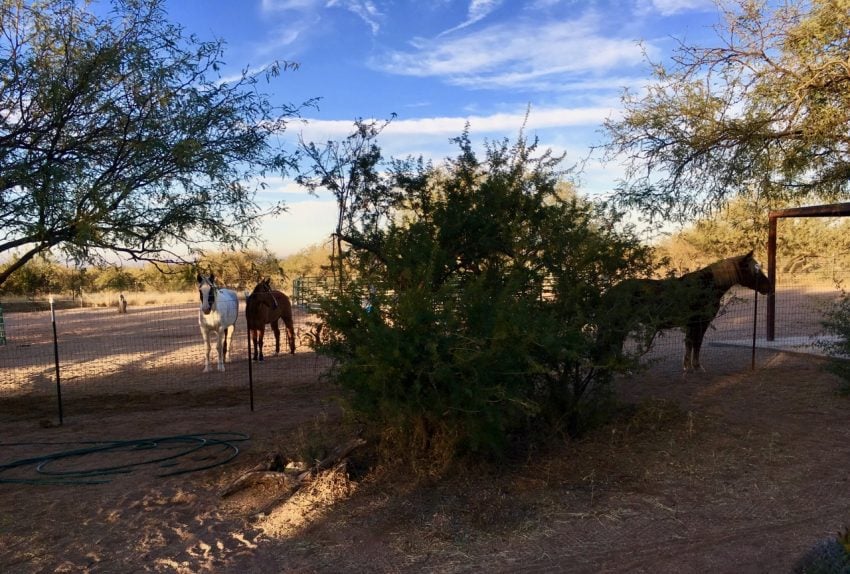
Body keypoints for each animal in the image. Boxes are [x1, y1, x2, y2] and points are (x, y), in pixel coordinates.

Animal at [592, 252, 772, 374]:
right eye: (755, 269)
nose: (768, 287)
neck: (706, 286)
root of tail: (609, 293)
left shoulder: (692, 323)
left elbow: (689, 343)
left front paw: (687, 366)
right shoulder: (700, 322)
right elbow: (696, 343)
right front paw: (697, 367)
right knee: (614, 344)